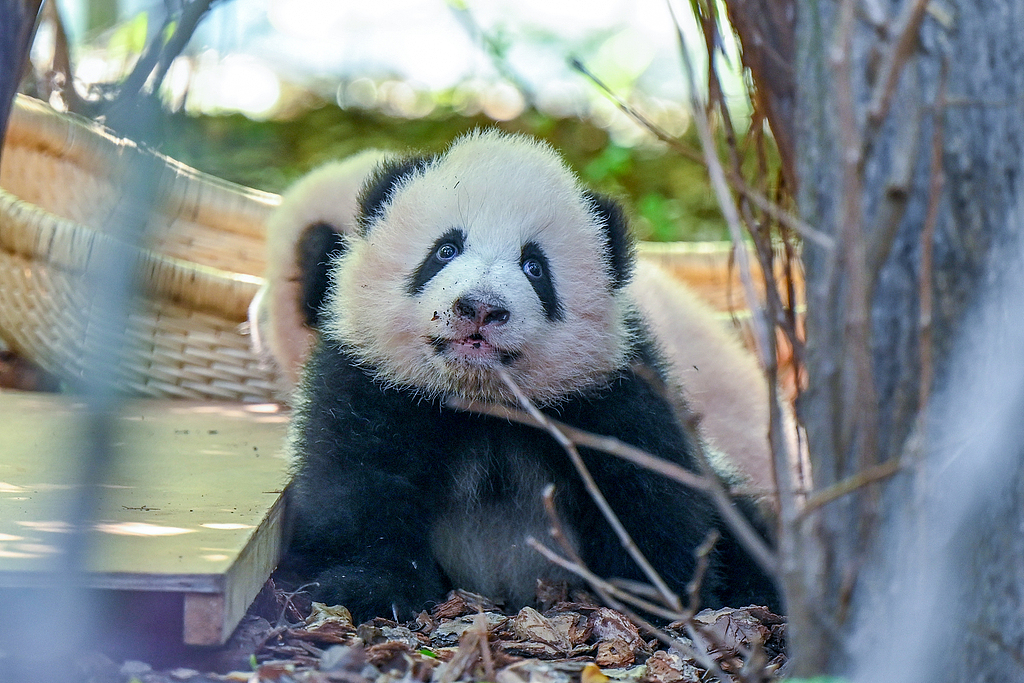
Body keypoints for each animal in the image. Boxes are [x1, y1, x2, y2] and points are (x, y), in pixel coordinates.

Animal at [273, 130, 780, 621]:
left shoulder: (609, 396)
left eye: (534, 267)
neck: (481, 399)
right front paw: (368, 589)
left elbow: (649, 495)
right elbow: (359, 486)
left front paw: (663, 599)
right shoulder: (374, 383)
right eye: (445, 250)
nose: (480, 307)